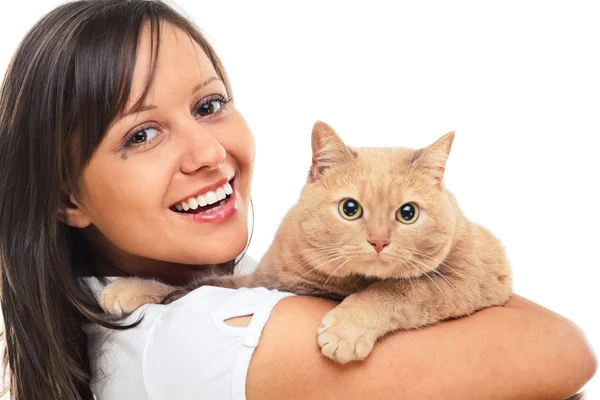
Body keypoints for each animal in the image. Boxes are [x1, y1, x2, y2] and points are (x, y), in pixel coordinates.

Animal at [101, 122, 512, 366]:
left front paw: (347, 328)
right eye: (350, 209)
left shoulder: (474, 275)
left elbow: (399, 290)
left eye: (407, 213)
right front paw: (130, 288)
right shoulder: (259, 282)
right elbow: (194, 284)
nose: (379, 241)